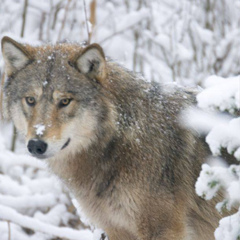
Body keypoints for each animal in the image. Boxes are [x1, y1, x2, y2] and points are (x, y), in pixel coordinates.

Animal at [0, 36, 227, 240]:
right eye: (31, 100)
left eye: (64, 101)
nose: (36, 145)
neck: (117, 143)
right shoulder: (116, 229)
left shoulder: (163, 230)